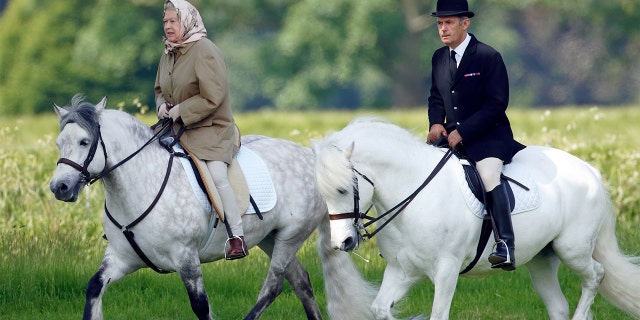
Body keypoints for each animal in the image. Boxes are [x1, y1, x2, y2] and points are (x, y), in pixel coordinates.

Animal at [48, 95, 338, 320]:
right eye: (59, 143)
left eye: (85, 142)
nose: (59, 187)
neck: (142, 184)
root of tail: (310, 155)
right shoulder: (120, 258)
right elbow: (93, 288)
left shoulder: (186, 258)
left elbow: (201, 306)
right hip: (270, 238)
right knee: (301, 282)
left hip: (291, 236)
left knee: (274, 285)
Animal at [312, 117, 640, 320]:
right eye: (323, 192)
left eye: (343, 189)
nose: (343, 242)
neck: (414, 191)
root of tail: (590, 171)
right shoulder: (402, 269)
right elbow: (381, 309)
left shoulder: (446, 269)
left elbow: (438, 315)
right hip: (541, 258)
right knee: (558, 306)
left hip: (573, 249)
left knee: (596, 275)